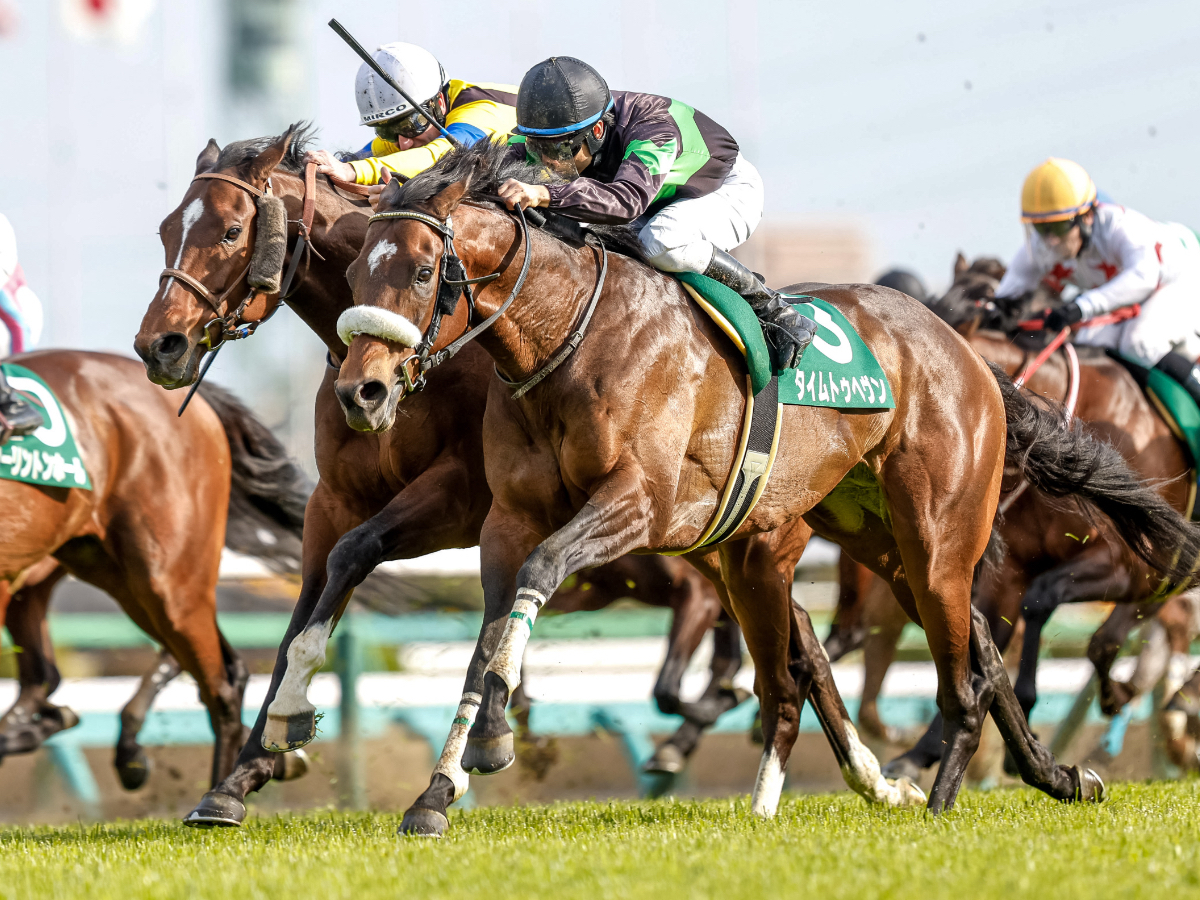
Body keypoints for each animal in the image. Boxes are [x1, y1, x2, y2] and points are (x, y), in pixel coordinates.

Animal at [133, 128, 787, 830]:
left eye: (231, 230)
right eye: (167, 228)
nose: (159, 346)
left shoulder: (459, 495)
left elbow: (358, 553)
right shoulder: (333, 502)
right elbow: (304, 613)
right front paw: (244, 772)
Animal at [321, 142, 1190, 840]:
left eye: (423, 271)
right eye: (357, 269)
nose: (361, 392)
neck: (570, 336)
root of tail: (969, 356)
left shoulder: (639, 503)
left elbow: (538, 579)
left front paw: (491, 745)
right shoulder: (510, 520)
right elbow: (488, 640)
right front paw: (439, 791)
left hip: (936, 535)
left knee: (965, 674)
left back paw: (943, 798)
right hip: (873, 543)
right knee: (976, 646)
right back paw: (1059, 776)